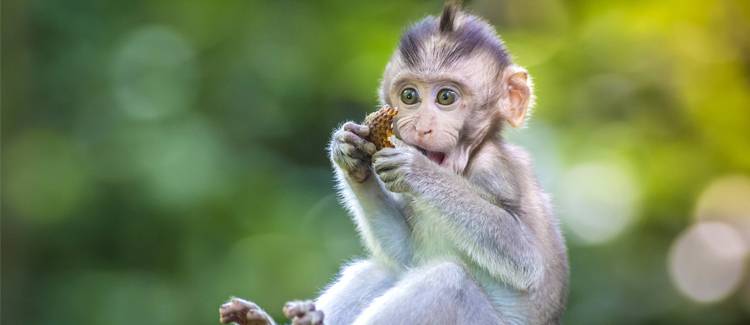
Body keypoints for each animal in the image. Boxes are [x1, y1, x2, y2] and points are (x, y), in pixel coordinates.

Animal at [223, 1, 568, 322]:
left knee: (448, 282)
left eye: (446, 97)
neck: (464, 165)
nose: (421, 127)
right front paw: (349, 156)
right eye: (409, 96)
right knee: (379, 271)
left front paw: (415, 170)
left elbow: (525, 260)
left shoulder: (495, 171)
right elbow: (406, 255)